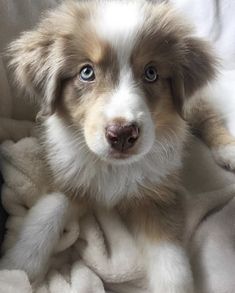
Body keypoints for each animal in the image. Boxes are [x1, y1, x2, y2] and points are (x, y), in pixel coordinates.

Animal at [0, 1, 218, 290]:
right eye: (86, 72)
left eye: (151, 73)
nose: (122, 134)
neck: (113, 168)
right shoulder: (67, 176)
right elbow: (46, 213)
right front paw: (17, 268)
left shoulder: (158, 195)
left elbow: (172, 262)